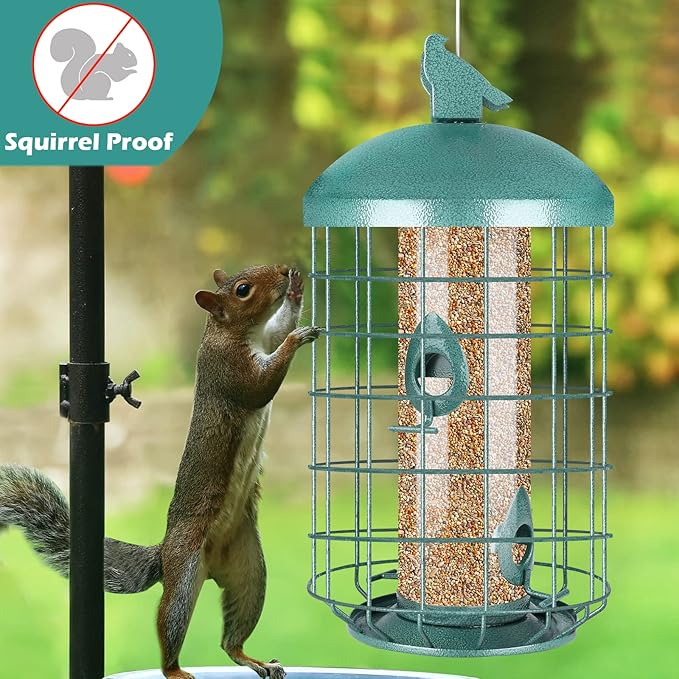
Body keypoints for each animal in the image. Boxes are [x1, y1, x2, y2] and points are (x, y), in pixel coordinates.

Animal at [0, 265, 319, 679]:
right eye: (243, 290)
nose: (283, 272)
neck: (233, 332)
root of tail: (167, 553)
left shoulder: (264, 338)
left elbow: (277, 330)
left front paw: (295, 293)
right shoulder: (230, 369)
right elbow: (261, 384)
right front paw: (298, 338)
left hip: (250, 572)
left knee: (231, 640)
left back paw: (254, 660)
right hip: (185, 574)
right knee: (170, 622)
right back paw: (175, 670)